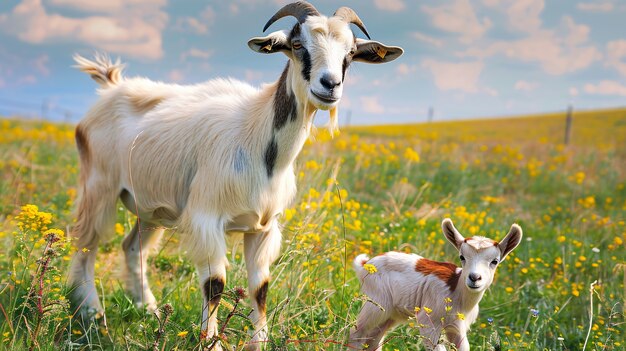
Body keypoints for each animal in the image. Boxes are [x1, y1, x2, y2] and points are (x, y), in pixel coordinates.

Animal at [67, 1, 400, 350]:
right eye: (298, 45)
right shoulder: (206, 218)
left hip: (150, 208)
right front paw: (211, 341)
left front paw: (259, 342)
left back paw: (149, 310)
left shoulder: (263, 228)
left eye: (350, 52)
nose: (330, 85)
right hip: (99, 188)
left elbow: (260, 287)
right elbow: (215, 284)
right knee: (85, 244)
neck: (258, 140)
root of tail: (111, 87)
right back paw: (92, 314)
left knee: (132, 248)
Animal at [348, 219, 520, 350]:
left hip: (391, 314)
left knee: (373, 340)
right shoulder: (429, 321)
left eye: (495, 261)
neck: (457, 293)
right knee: (356, 334)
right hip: (377, 304)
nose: (474, 277)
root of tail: (366, 264)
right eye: (462, 257)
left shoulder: (457, 328)